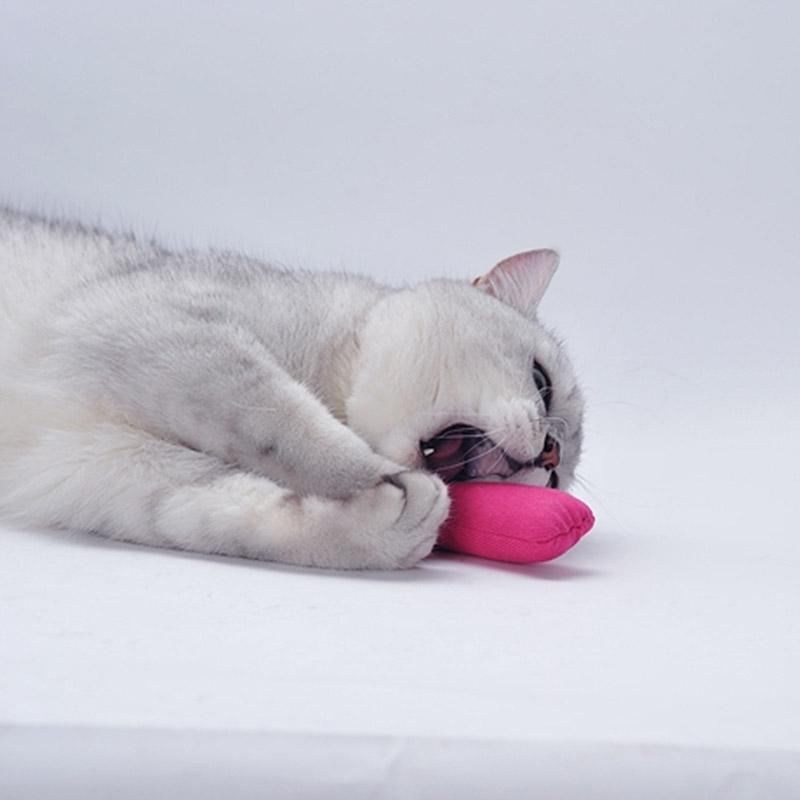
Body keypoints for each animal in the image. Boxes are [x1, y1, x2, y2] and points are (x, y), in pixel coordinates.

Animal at [0, 208, 588, 568]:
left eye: (557, 482)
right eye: (542, 381)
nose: (551, 452)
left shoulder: (94, 467)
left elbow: (221, 511)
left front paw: (388, 529)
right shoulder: (162, 329)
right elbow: (282, 421)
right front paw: (380, 476)